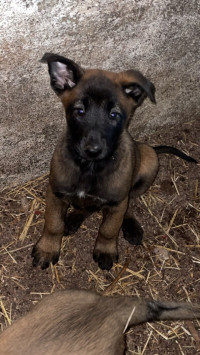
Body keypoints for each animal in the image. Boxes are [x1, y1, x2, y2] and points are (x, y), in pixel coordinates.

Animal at [31, 52, 197, 270]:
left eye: (114, 115)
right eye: (79, 111)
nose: (93, 150)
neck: (90, 167)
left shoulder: (117, 201)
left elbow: (108, 229)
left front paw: (106, 250)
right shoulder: (55, 192)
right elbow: (53, 224)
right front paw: (47, 249)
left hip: (148, 160)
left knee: (128, 204)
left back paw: (130, 226)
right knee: (86, 207)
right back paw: (73, 219)